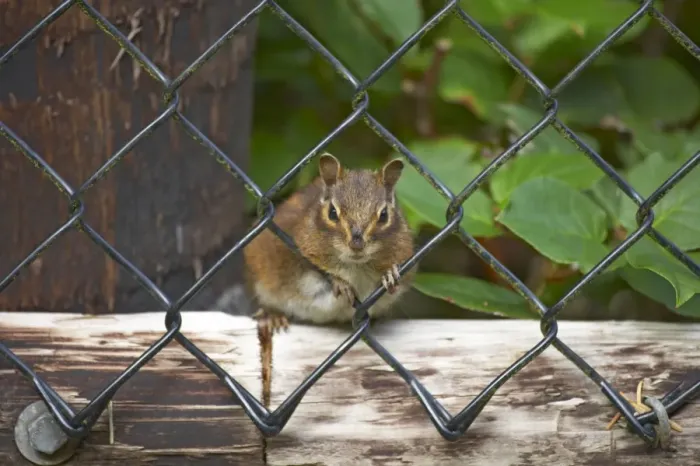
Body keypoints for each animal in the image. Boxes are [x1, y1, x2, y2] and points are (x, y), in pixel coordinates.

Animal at [243, 153, 416, 333]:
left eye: (384, 215)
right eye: (332, 212)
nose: (357, 244)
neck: (356, 267)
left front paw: (389, 273)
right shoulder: (298, 259)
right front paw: (340, 283)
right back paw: (271, 316)